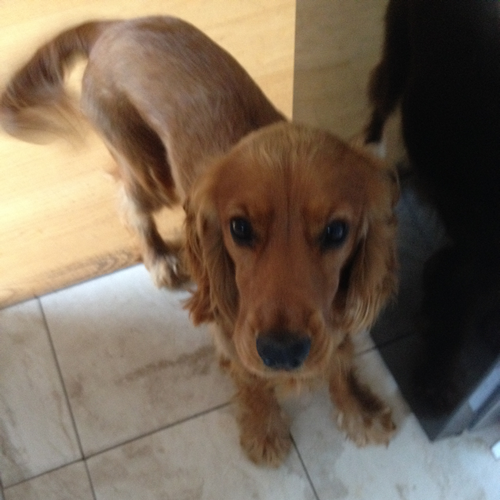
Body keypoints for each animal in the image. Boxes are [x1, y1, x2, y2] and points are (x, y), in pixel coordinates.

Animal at [1, 16, 398, 465]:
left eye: (336, 231)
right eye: (239, 228)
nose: (282, 353)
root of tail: (112, 26)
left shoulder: (334, 314)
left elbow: (340, 362)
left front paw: (360, 411)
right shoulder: (231, 328)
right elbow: (251, 378)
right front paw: (264, 429)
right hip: (152, 172)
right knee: (129, 201)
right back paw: (159, 257)